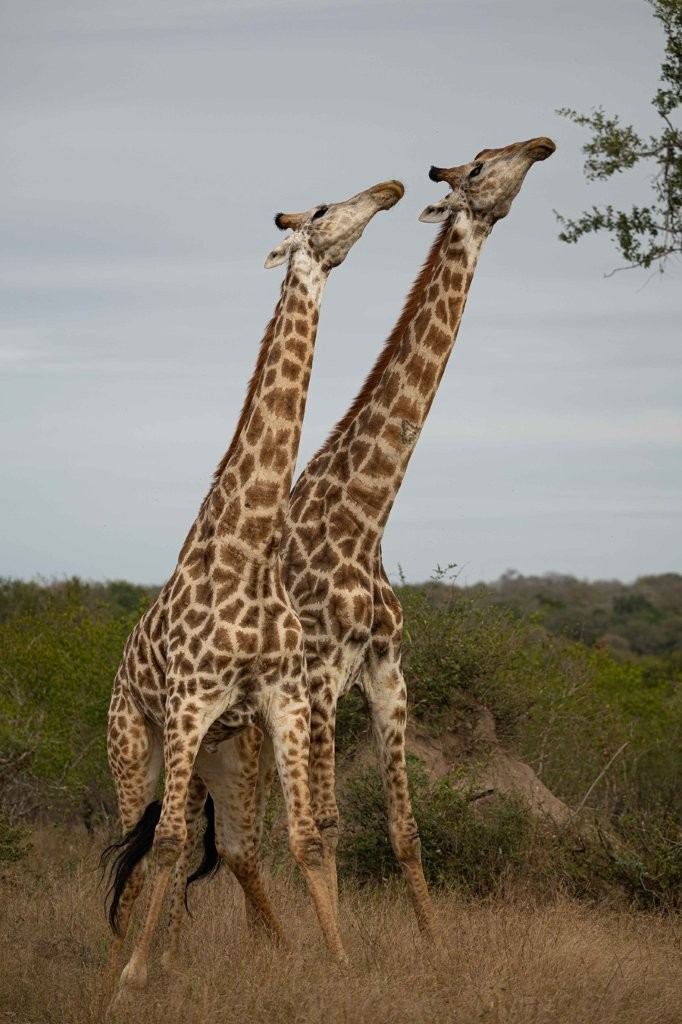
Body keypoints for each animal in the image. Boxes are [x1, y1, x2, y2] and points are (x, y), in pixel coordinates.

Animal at [100, 176, 405, 1005]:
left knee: (203, 841)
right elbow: (164, 841)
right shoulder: (188, 700)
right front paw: (131, 975)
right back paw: (124, 959)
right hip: (133, 739)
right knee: (138, 833)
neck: (248, 543)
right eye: (325, 210)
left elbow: (302, 836)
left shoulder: (283, 697)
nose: (391, 189)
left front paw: (339, 964)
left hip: (218, 755)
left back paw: (168, 956)